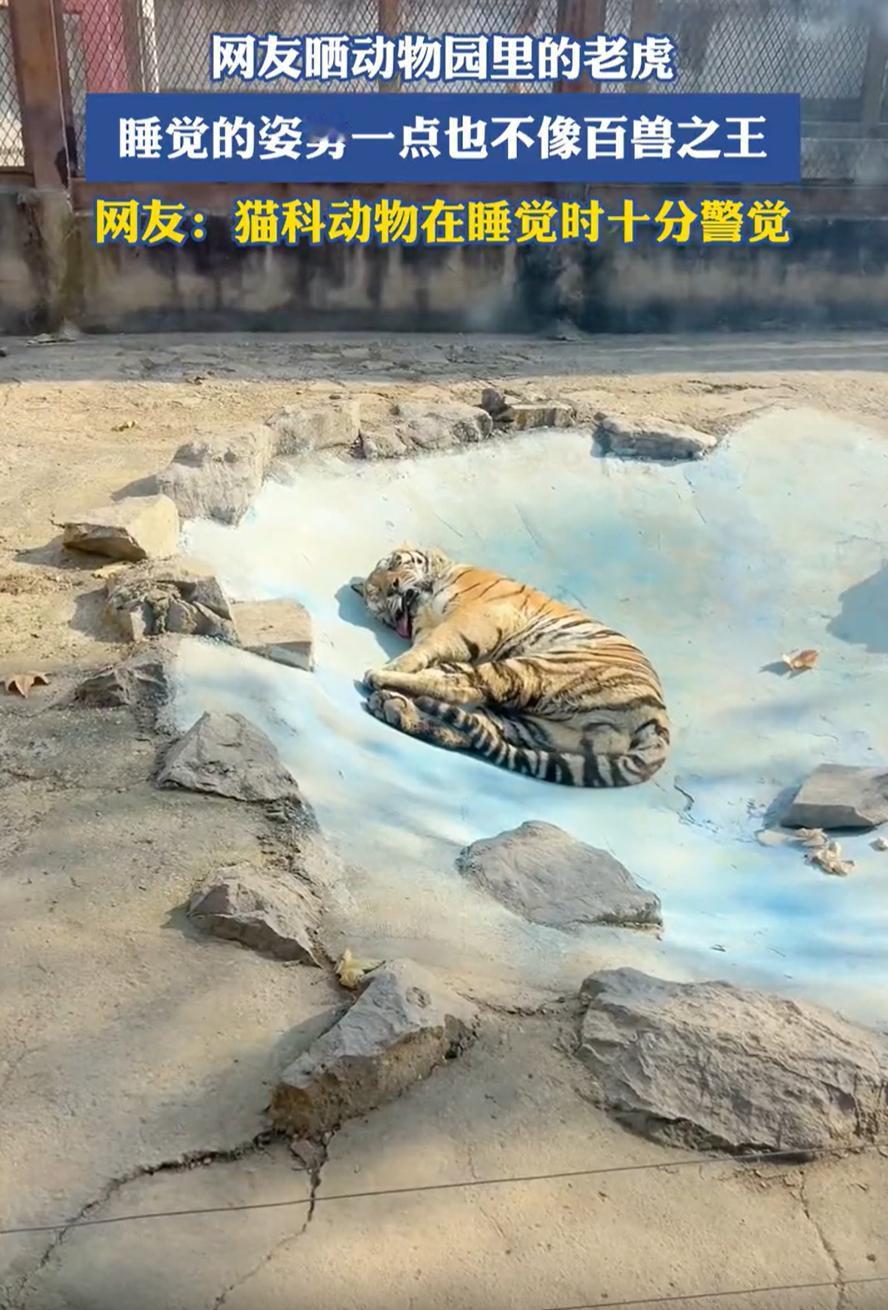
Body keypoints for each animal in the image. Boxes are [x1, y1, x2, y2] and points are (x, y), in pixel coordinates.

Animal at [351, 546, 670, 788]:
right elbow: (429, 648)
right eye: (376, 592)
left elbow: (430, 646)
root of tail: (659, 718)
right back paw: (393, 706)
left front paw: (398, 664)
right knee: (478, 726)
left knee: (463, 688)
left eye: (396, 563)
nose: (392, 587)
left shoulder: (475, 617)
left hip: (539, 667)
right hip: (545, 729)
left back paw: (383, 681)